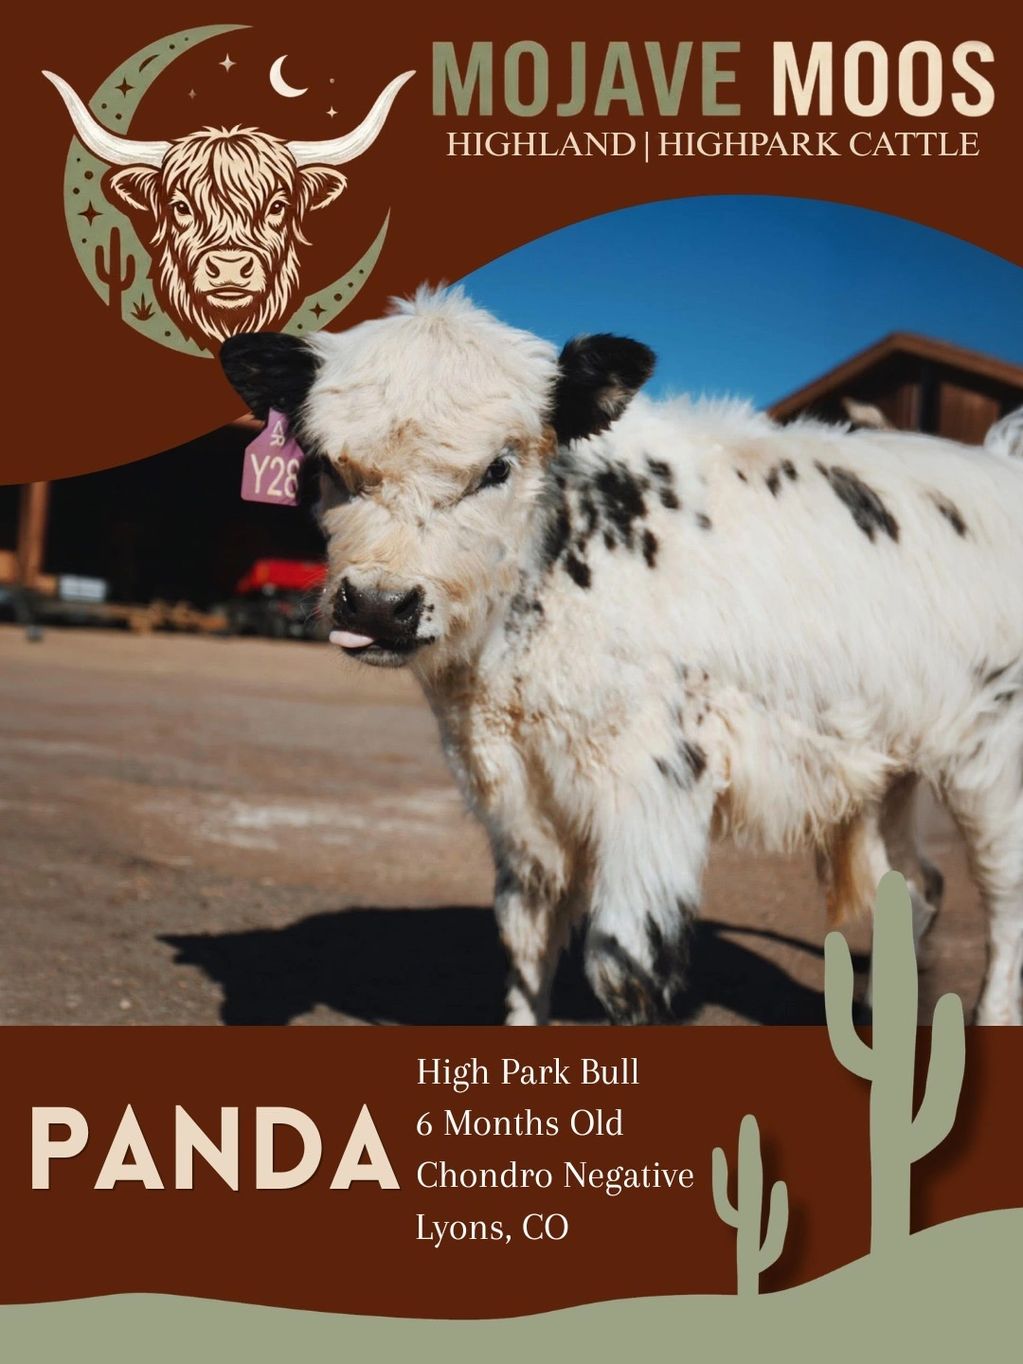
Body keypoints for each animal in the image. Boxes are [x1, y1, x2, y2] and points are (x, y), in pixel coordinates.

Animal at [220, 288, 1023, 1027]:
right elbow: (525, 939)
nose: (379, 604)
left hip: (990, 764)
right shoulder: (515, 794)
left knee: (1003, 898)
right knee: (916, 884)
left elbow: (622, 964)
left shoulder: (653, 782)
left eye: (498, 467)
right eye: (328, 464)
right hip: (890, 763)